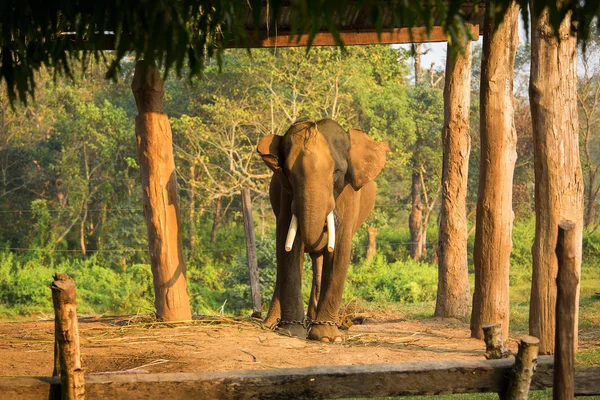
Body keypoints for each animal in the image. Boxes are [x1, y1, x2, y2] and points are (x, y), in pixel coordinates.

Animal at [254, 119, 386, 340]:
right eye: (288, 173)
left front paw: (327, 337)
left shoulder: (348, 196)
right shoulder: (285, 196)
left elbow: (340, 249)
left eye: (337, 172)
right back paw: (272, 324)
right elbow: (288, 248)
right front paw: (292, 332)